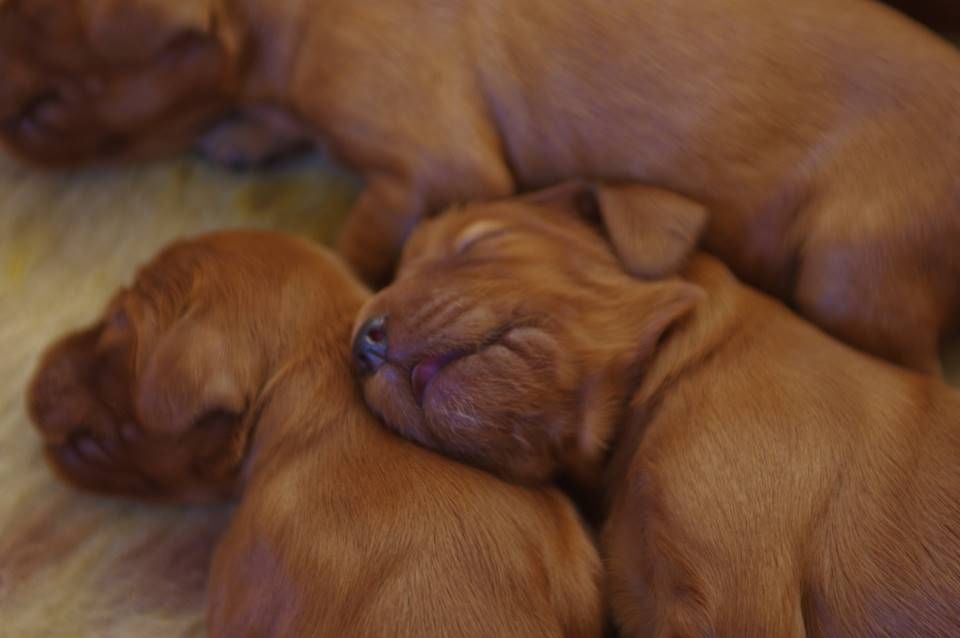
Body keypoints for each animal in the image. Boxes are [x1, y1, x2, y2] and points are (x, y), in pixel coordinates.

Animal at [1, 0, 960, 372]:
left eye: (44, 108)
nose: (5, 137)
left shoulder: (435, 160)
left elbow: (361, 235)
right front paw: (246, 133)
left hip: (853, 271)